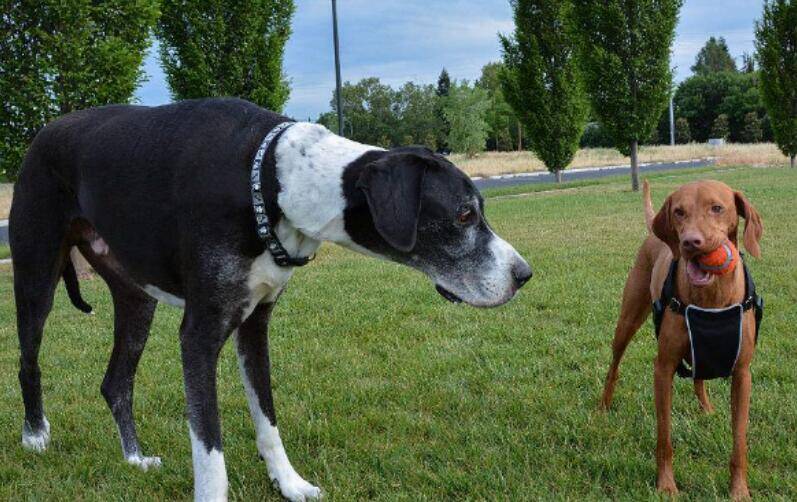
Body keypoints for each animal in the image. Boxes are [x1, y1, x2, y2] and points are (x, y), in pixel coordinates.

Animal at [9, 97, 532, 498]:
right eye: (464, 215)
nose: (523, 275)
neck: (271, 182)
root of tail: (43, 132)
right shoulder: (199, 337)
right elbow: (210, 452)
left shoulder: (255, 323)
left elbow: (267, 418)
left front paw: (290, 484)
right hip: (36, 275)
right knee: (28, 360)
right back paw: (35, 436)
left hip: (138, 301)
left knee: (116, 382)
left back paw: (134, 459)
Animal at [600, 179, 760, 498]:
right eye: (678, 212)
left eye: (717, 208)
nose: (690, 242)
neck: (712, 299)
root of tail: (652, 233)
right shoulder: (663, 369)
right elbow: (664, 437)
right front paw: (666, 485)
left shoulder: (742, 373)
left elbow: (739, 441)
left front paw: (739, 490)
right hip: (627, 321)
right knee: (614, 365)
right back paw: (604, 405)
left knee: (699, 376)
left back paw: (707, 409)